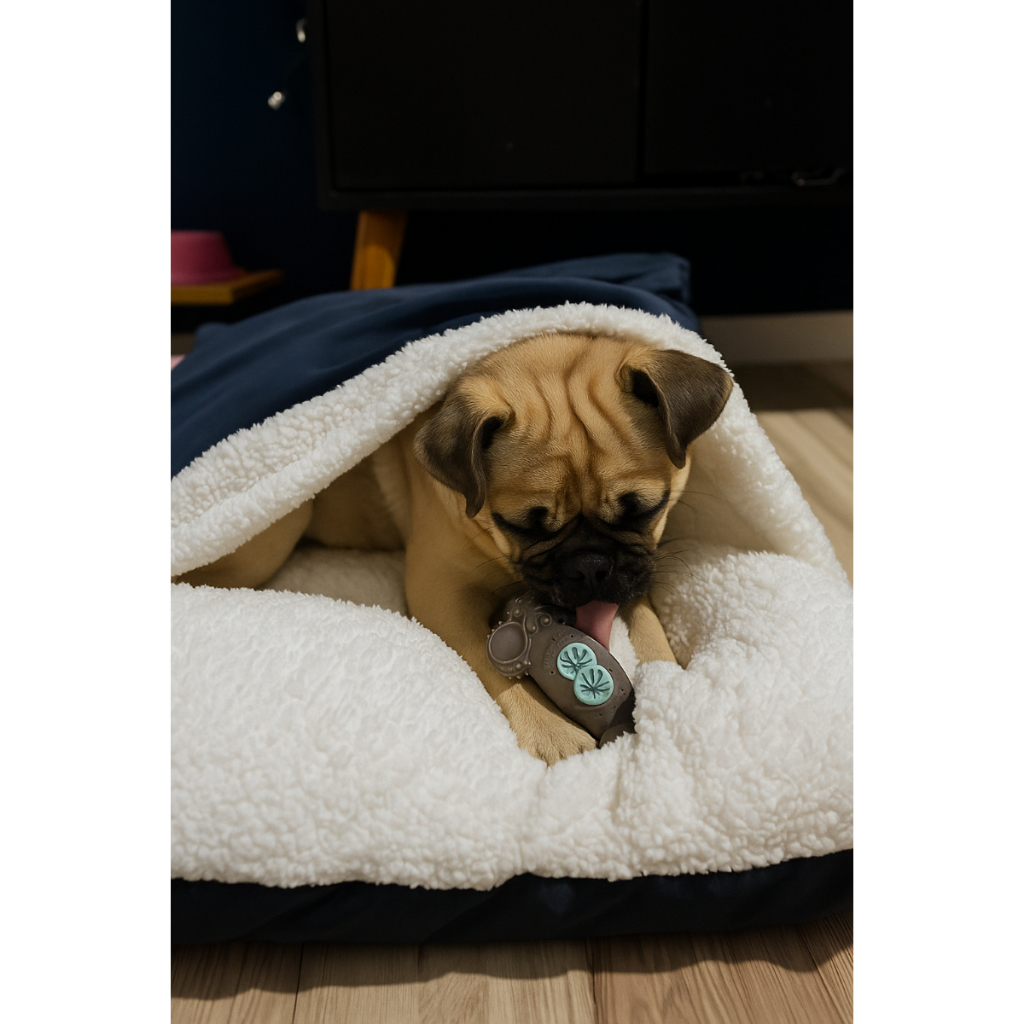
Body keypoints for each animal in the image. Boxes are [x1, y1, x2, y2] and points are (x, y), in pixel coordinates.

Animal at [177, 333, 733, 764]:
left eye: (644, 509)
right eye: (521, 525)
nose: (590, 566)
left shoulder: (635, 571)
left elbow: (650, 628)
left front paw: (670, 684)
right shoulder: (444, 599)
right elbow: (495, 670)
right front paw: (553, 731)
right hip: (276, 531)